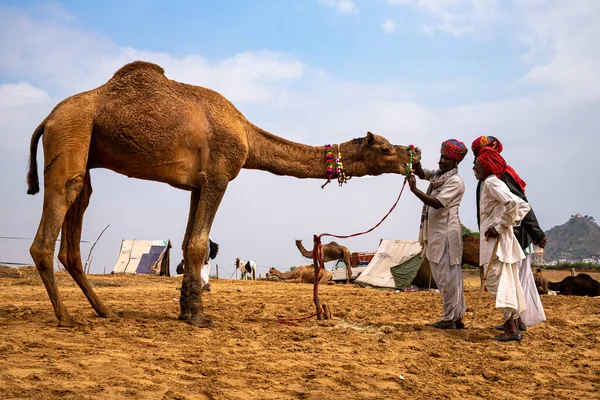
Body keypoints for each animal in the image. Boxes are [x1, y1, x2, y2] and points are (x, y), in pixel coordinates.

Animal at [23, 60, 418, 328]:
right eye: (385, 148)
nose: (414, 155)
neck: (245, 132)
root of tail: (47, 118)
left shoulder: (197, 183)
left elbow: (187, 243)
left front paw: (186, 311)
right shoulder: (218, 174)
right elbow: (199, 244)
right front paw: (199, 318)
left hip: (83, 144)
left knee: (78, 210)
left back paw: (104, 310)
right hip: (72, 130)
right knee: (58, 208)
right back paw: (66, 317)